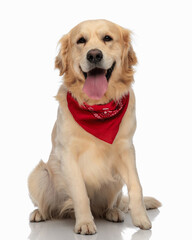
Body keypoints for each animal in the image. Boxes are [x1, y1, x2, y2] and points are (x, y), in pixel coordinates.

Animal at [28, 19, 160, 234]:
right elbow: (80, 193)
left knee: (110, 204)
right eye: (81, 40)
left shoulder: (126, 149)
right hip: (39, 174)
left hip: (116, 181)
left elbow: (136, 185)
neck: (98, 108)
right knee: (48, 206)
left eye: (107, 38)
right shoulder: (68, 154)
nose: (94, 55)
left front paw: (141, 219)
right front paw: (84, 223)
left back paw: (113, 212)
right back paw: (40, 213)